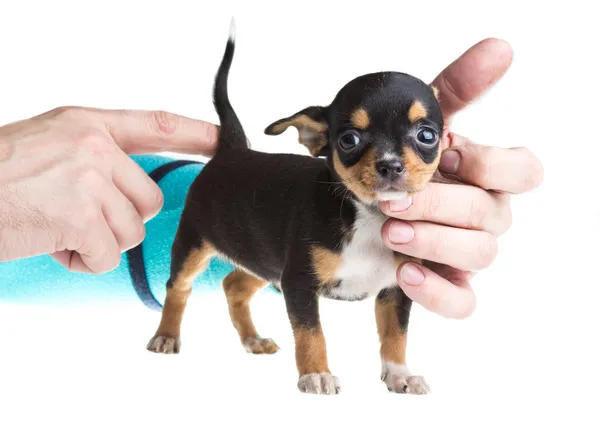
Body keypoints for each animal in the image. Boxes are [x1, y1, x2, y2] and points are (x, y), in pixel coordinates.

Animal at [148, 20, 442, 394]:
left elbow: (395, 334)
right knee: (178, 287)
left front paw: (399, 374)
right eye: (348, 140)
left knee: (233, 285)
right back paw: (166, 335)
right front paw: (316, 374)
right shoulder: (299, 283)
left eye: (426, 136)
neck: (366, 216)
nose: (390, 165)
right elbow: (311, 333)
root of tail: (233, 149)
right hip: (194, 244)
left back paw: (253, 339)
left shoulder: (395, 288)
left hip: (264, 259)